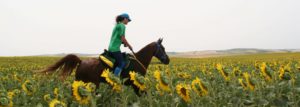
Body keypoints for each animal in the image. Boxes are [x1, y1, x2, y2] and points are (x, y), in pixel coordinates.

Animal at [41, 38, 170, 95]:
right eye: (163, 48)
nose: (167, 60)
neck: (139, 60)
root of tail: (81, 62)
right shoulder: (135, 84)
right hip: (92, 85)